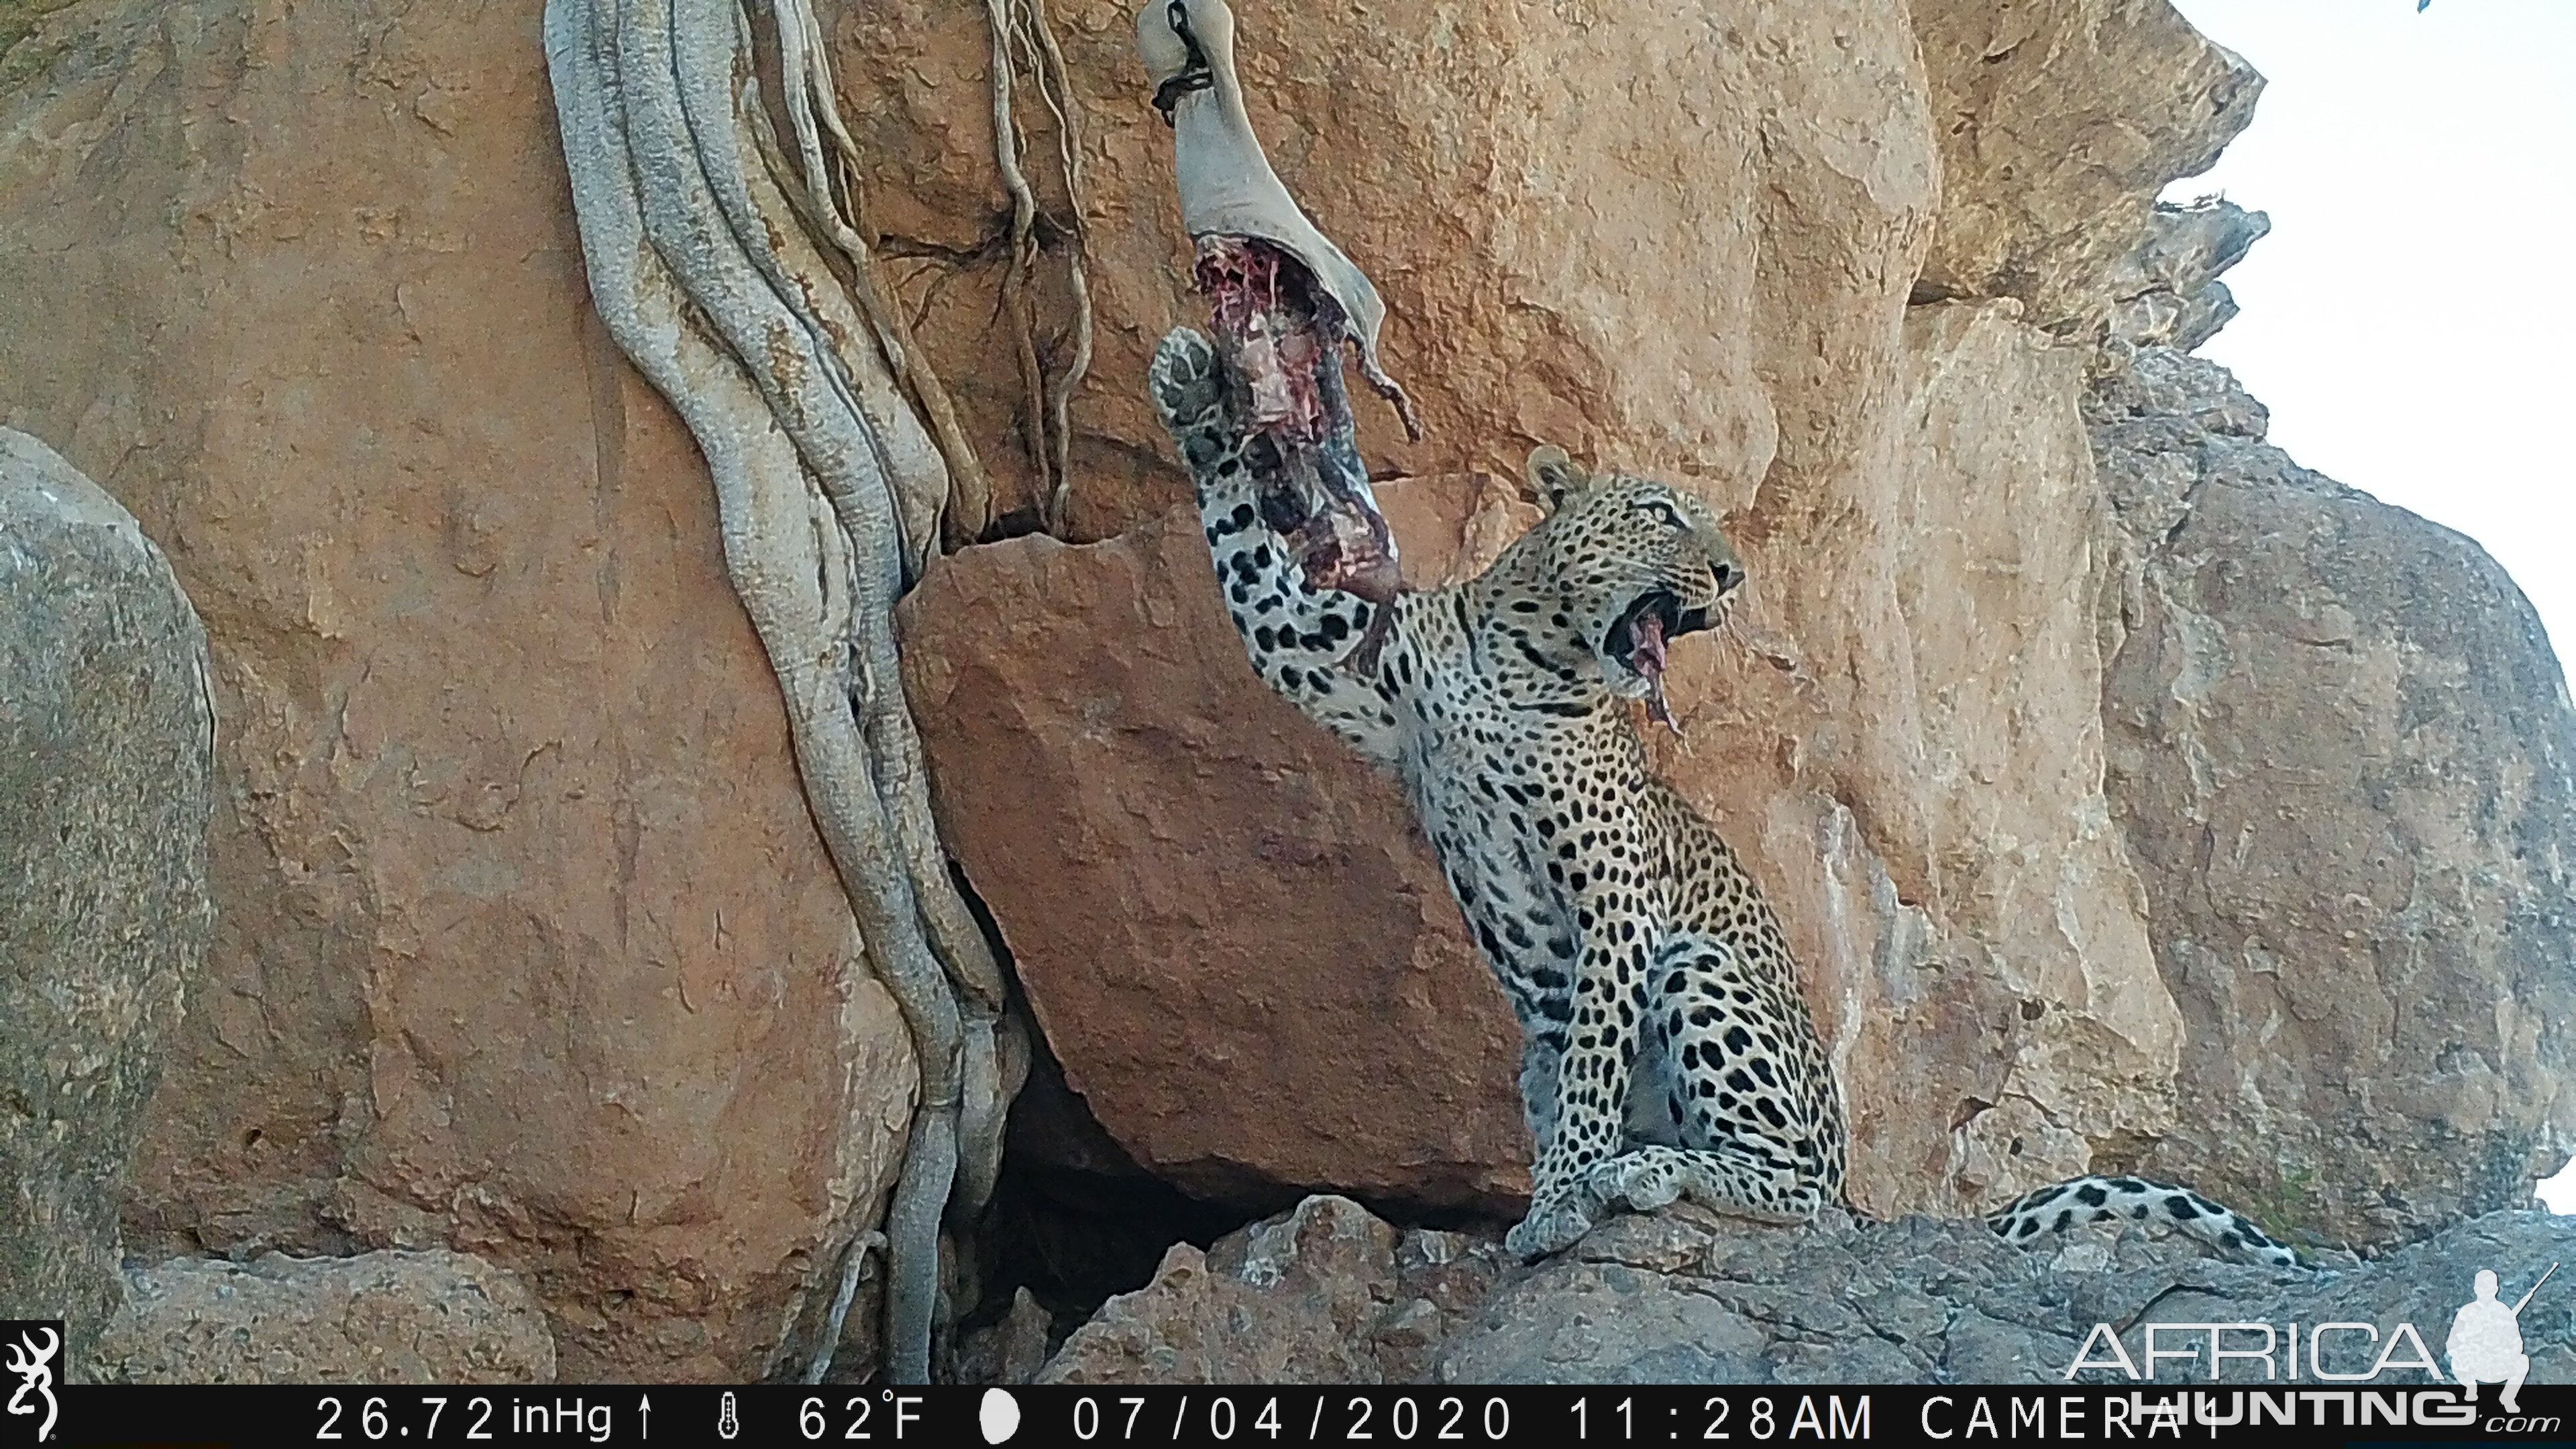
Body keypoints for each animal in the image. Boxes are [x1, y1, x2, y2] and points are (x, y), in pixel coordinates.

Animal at [1148, 318, 2298, 1263]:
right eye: (1662, 514)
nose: (1733, 577)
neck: (1524, 658)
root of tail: (1864, 1190)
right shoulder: (1338, 666)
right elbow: (1255, 568)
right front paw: (1198, 397)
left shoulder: (1619, 900)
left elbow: (1598, 1064)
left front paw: (1559, 1201)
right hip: (1535, 1049)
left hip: (1704, 976)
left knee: (1793, 1191)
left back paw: (1650, 1170)